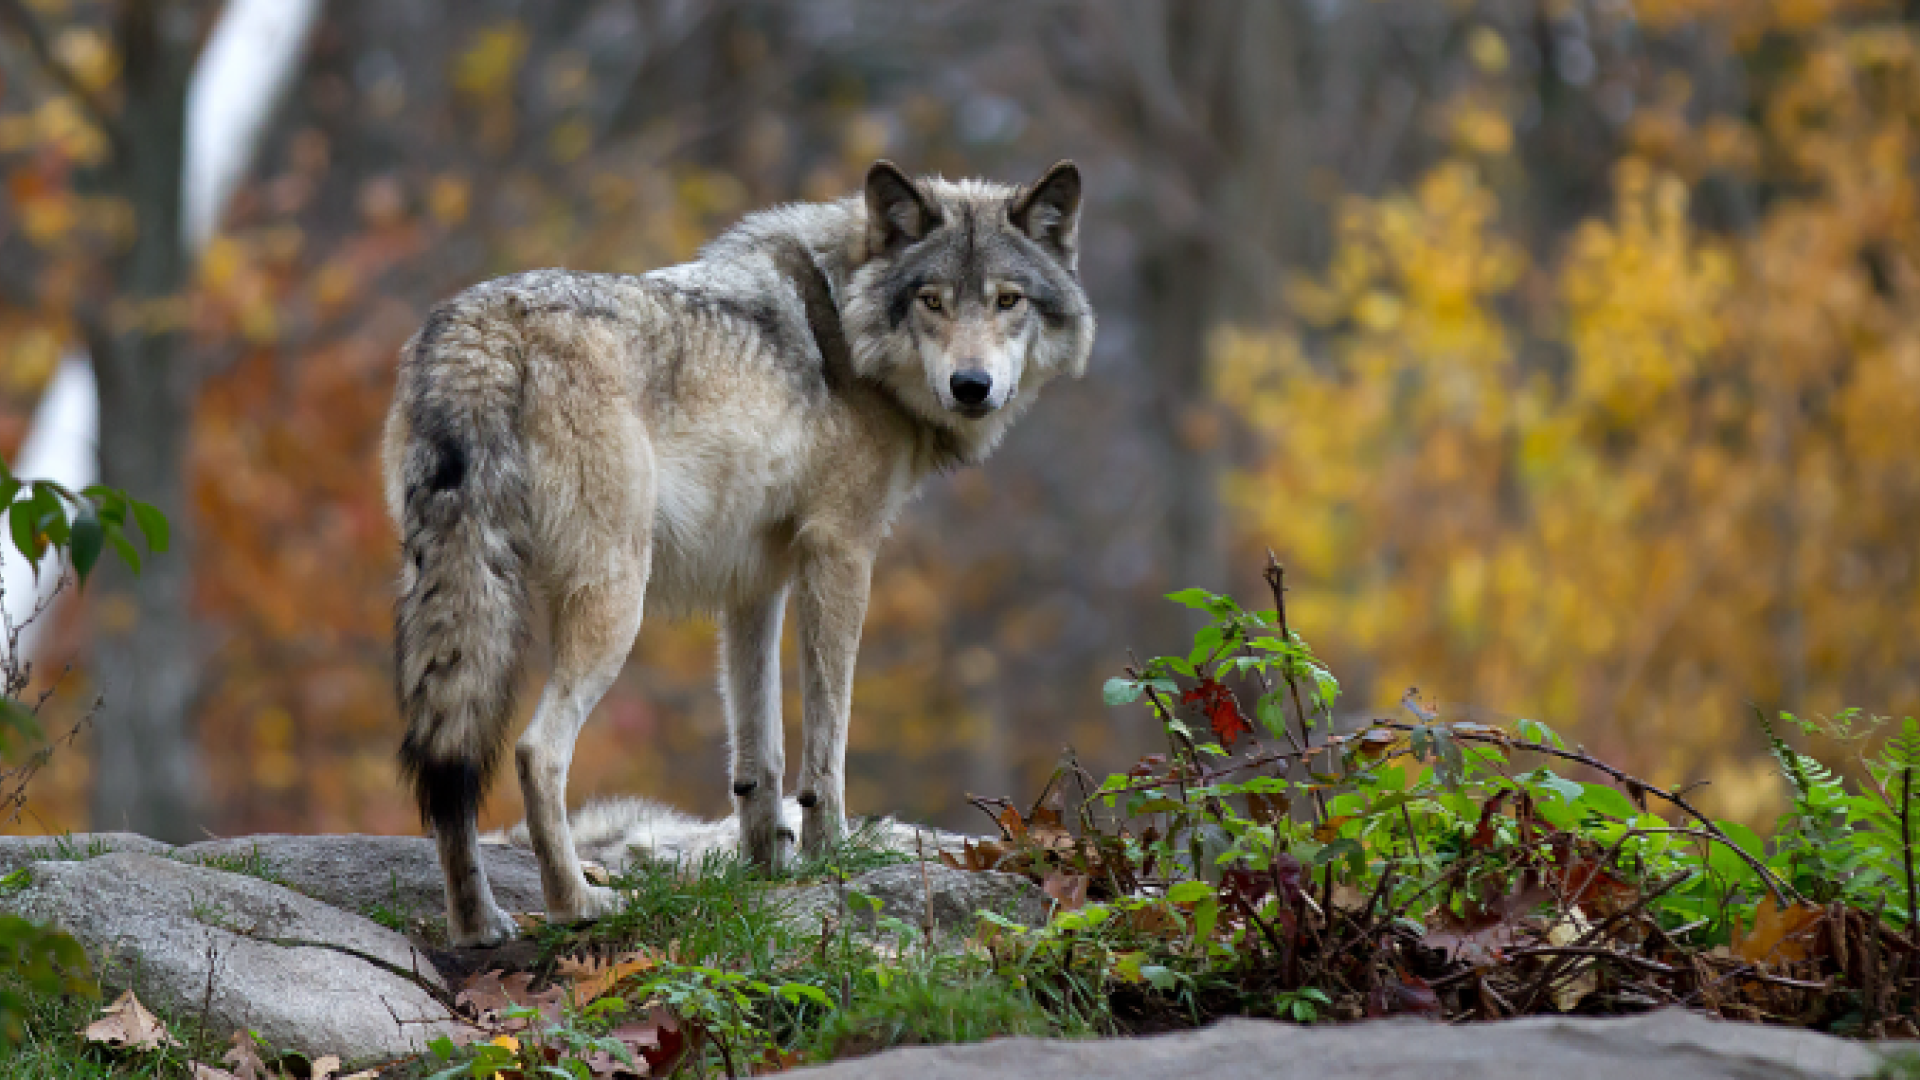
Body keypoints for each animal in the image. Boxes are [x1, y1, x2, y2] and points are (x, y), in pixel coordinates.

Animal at [385, 160, 1093, 946]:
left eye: (1008, 300)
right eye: (932, 301)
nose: (972, 387)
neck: (845, 323)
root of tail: (481, 328)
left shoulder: (754, 583)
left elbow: (760, 754)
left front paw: (767, 869)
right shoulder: (841, 553)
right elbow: (826, 742)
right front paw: (828, 856)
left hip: (455, 591)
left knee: (450, 761)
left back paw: (478, 925)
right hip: (614, 601)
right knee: (538, 750)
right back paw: (578, 904)